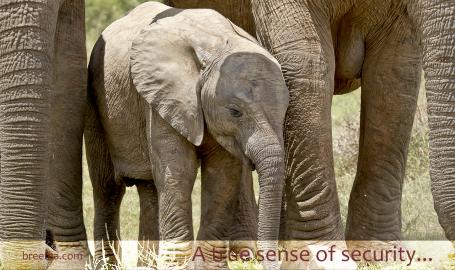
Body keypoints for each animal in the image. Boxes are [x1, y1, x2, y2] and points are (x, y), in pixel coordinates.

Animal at [85, 2, 288, 270]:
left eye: (285, 111)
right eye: (235, 112)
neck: (217, 45)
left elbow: (222, 173)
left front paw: (207, 267)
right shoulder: (163, 96)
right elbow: (180, 170)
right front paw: (177, 267)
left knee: (149, 188)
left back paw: (148, 264)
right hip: (95, 99)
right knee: (107, 187)